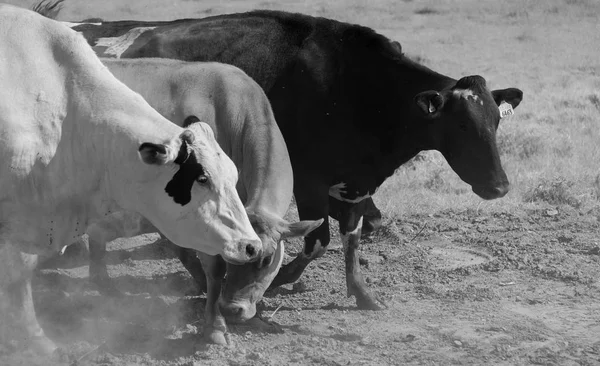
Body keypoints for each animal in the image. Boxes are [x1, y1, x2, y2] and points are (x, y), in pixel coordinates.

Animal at [0, 4, 262, 354]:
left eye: (233, 175)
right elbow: (19, 273)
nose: (251, 246)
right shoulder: (18, 217)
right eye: (202, 177)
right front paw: (38, 340)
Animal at [36, 1, 520, 312]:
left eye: (496, 121)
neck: (357, 87)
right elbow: (317, 238)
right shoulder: (309, 181)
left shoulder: (355, 184)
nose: (499, 186)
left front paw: (362, 294)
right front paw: (283, 281)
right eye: (461, 125)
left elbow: (350, 239)